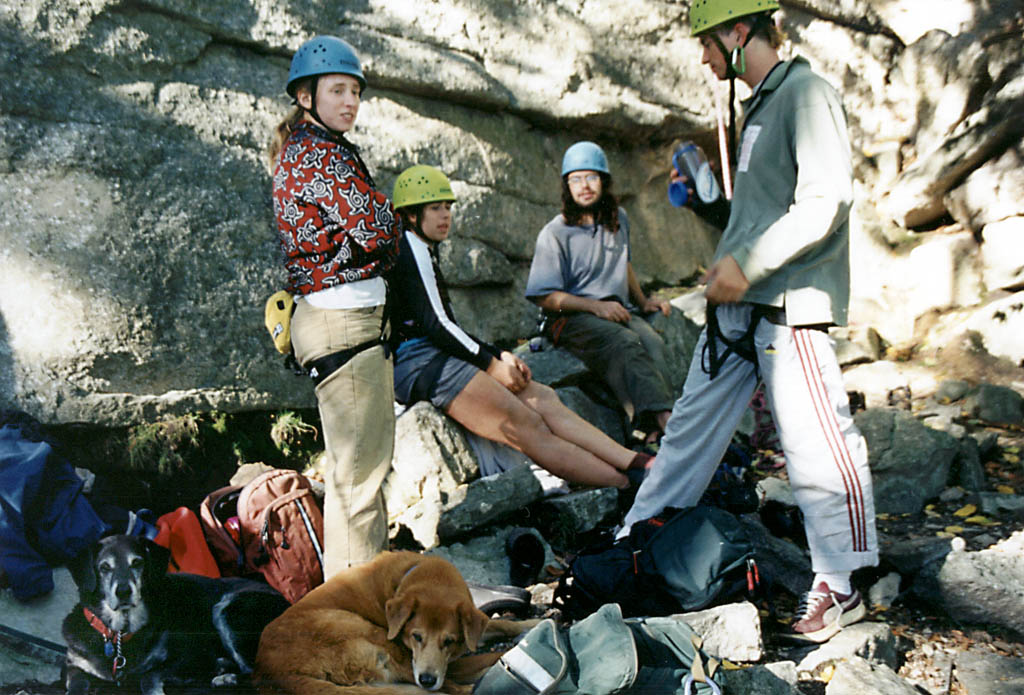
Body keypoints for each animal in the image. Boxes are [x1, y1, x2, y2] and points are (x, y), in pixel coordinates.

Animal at [62, 536, 290, 691]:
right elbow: (75, 683)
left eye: (137, 562)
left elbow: (148, 676)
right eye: (104, 567)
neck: (120, 633)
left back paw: (226, 677)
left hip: (226, 608)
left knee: (256, 675)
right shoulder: (74, 665)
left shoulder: (189, 656)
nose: (124, 592)